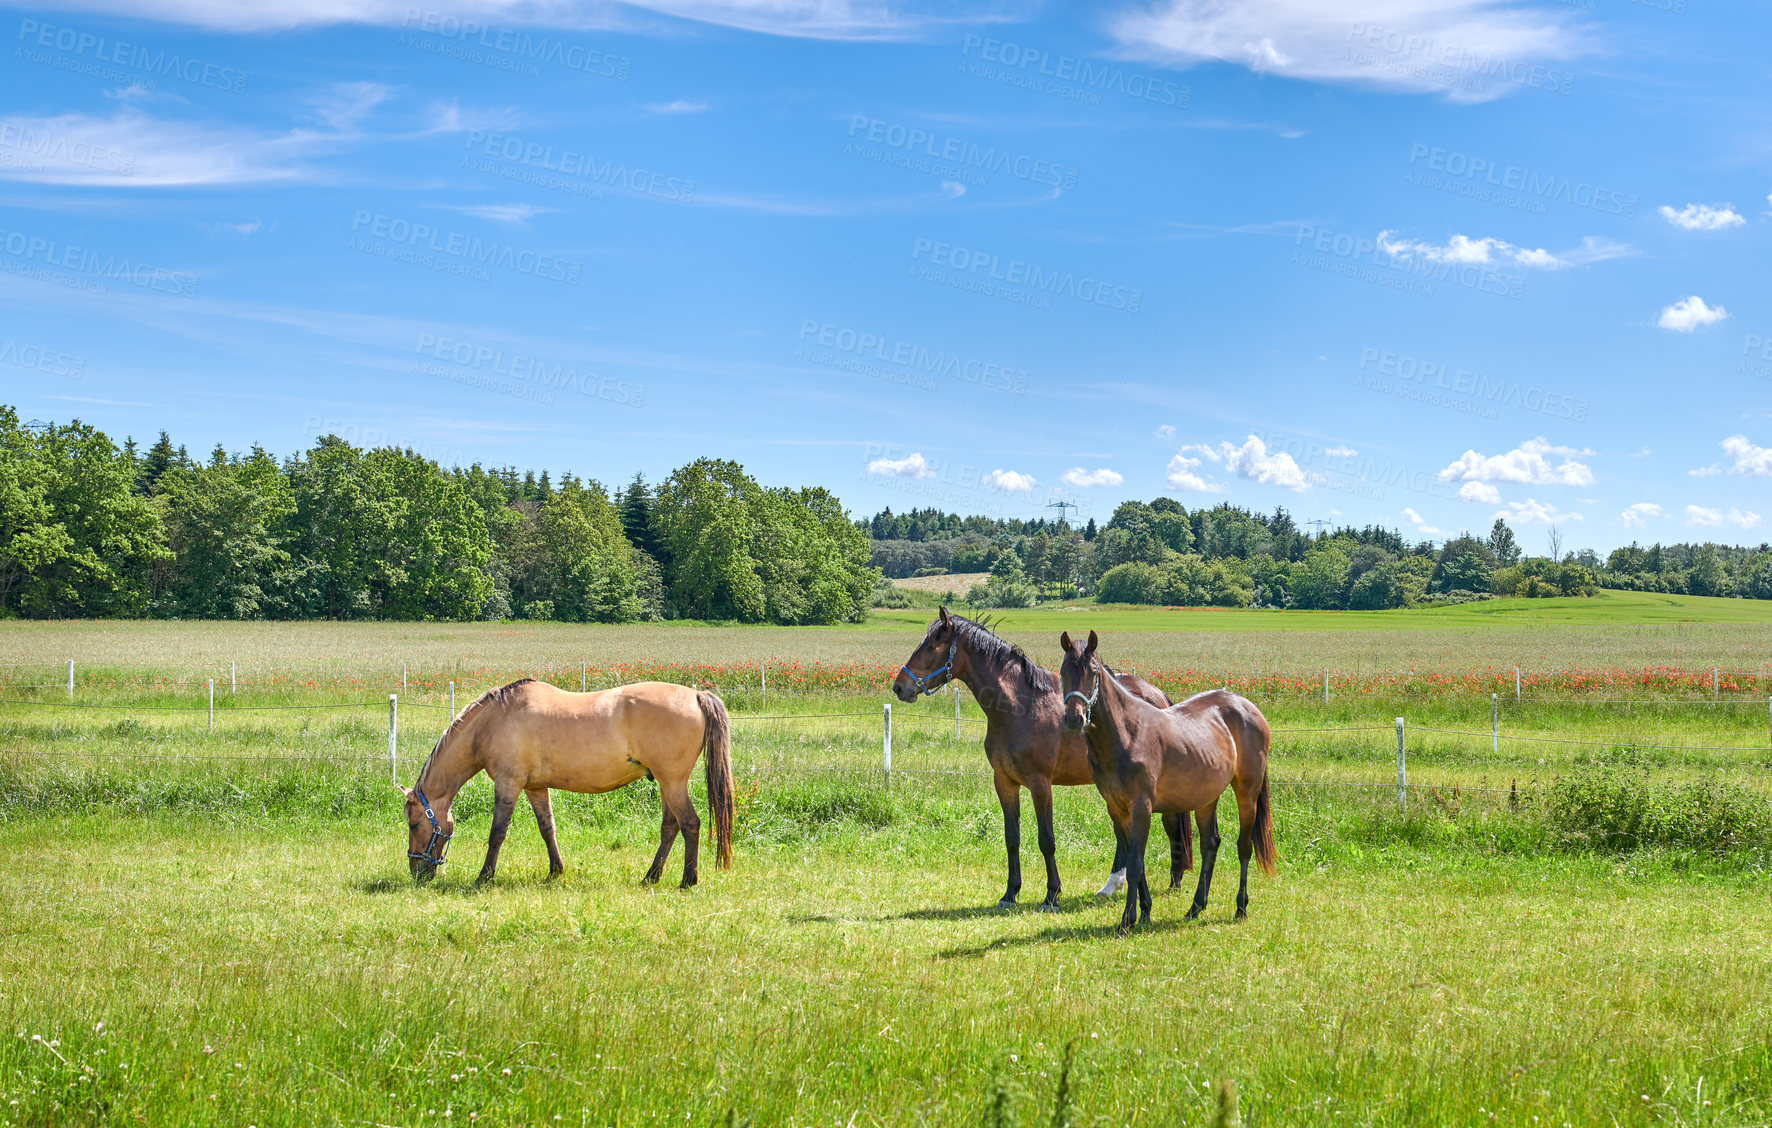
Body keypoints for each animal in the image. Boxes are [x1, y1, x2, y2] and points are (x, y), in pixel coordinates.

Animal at [397, 678, 734, 888]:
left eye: (413, 824)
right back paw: (651, 877)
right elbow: (547, 828)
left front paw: (485, 876)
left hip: (672, 782)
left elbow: (497, 833)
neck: (493, 721)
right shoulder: (534, 787)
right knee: (670, 827)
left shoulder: (508, 784)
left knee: (690, 823)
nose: (416, 871)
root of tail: (696, 696)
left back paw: (688, 880)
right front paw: (555, 871)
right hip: (665, 783)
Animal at [892, 607, 1191, 910]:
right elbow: (1012, 838)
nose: (899, 686)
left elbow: (1046, 839)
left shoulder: (1040, 784)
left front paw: (1052, 894)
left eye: (932, 646)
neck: (1020, 707)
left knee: (1167, 824)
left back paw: (1172, 880)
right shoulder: (1004, 782)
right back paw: (1113, 885)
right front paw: (1010, 893)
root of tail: (1157, 695)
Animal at [1058, 630, 1275, 932]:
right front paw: (1145, 912)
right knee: (1210, 844)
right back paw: (1195, 907)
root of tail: (1248, 707)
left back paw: (1240, 907)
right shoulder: (1118, 810)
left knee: (1244, 846)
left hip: (1247, 792)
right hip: (1206, 799)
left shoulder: (1142, 808)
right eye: (1063, 671)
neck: (1127, 734)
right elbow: (1135, 861)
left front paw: (1127, 919)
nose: (1074, 719)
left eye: (1092, 671)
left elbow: (1135, 863)